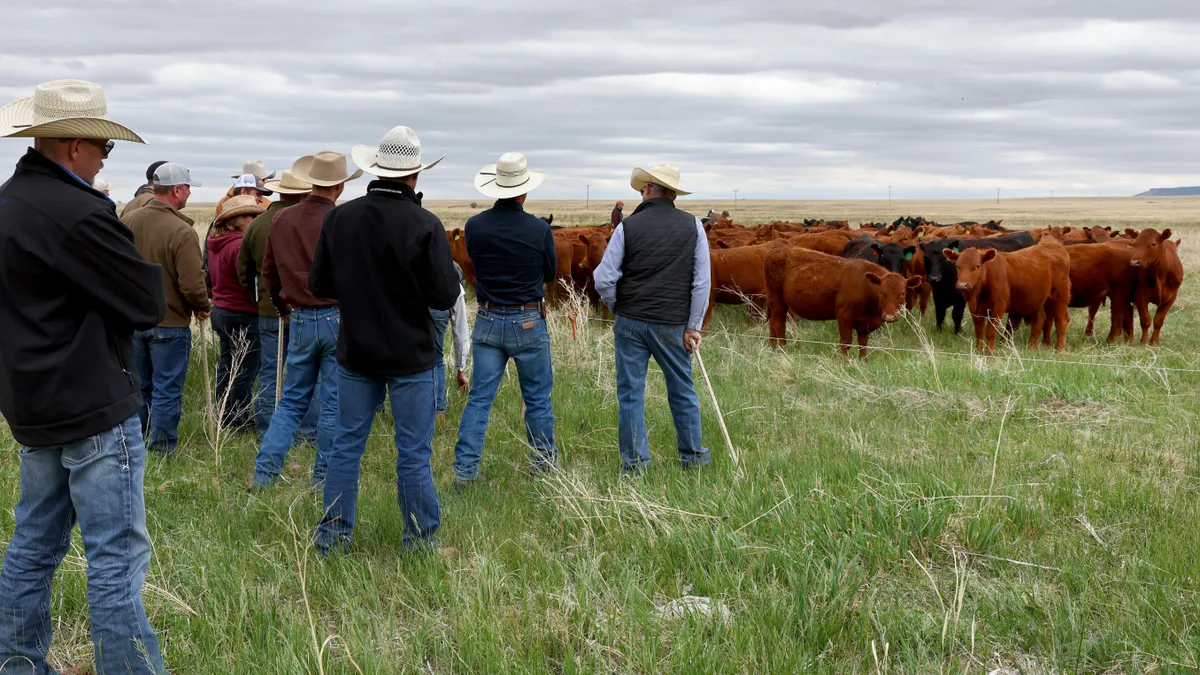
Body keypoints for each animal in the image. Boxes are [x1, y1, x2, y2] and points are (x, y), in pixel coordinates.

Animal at [763, 247, 921, 360]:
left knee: (773, 323)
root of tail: (775, 251)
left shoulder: (865, 323)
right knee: (779, 324)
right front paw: (844, 362)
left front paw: (863, 362)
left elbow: (863, 344)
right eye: (882, 292)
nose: (889, 316)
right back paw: (783, 348)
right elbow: (846, 342)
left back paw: (772, 347)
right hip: (777, 300)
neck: (865, 286)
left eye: (902, 293)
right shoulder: (844, 316)